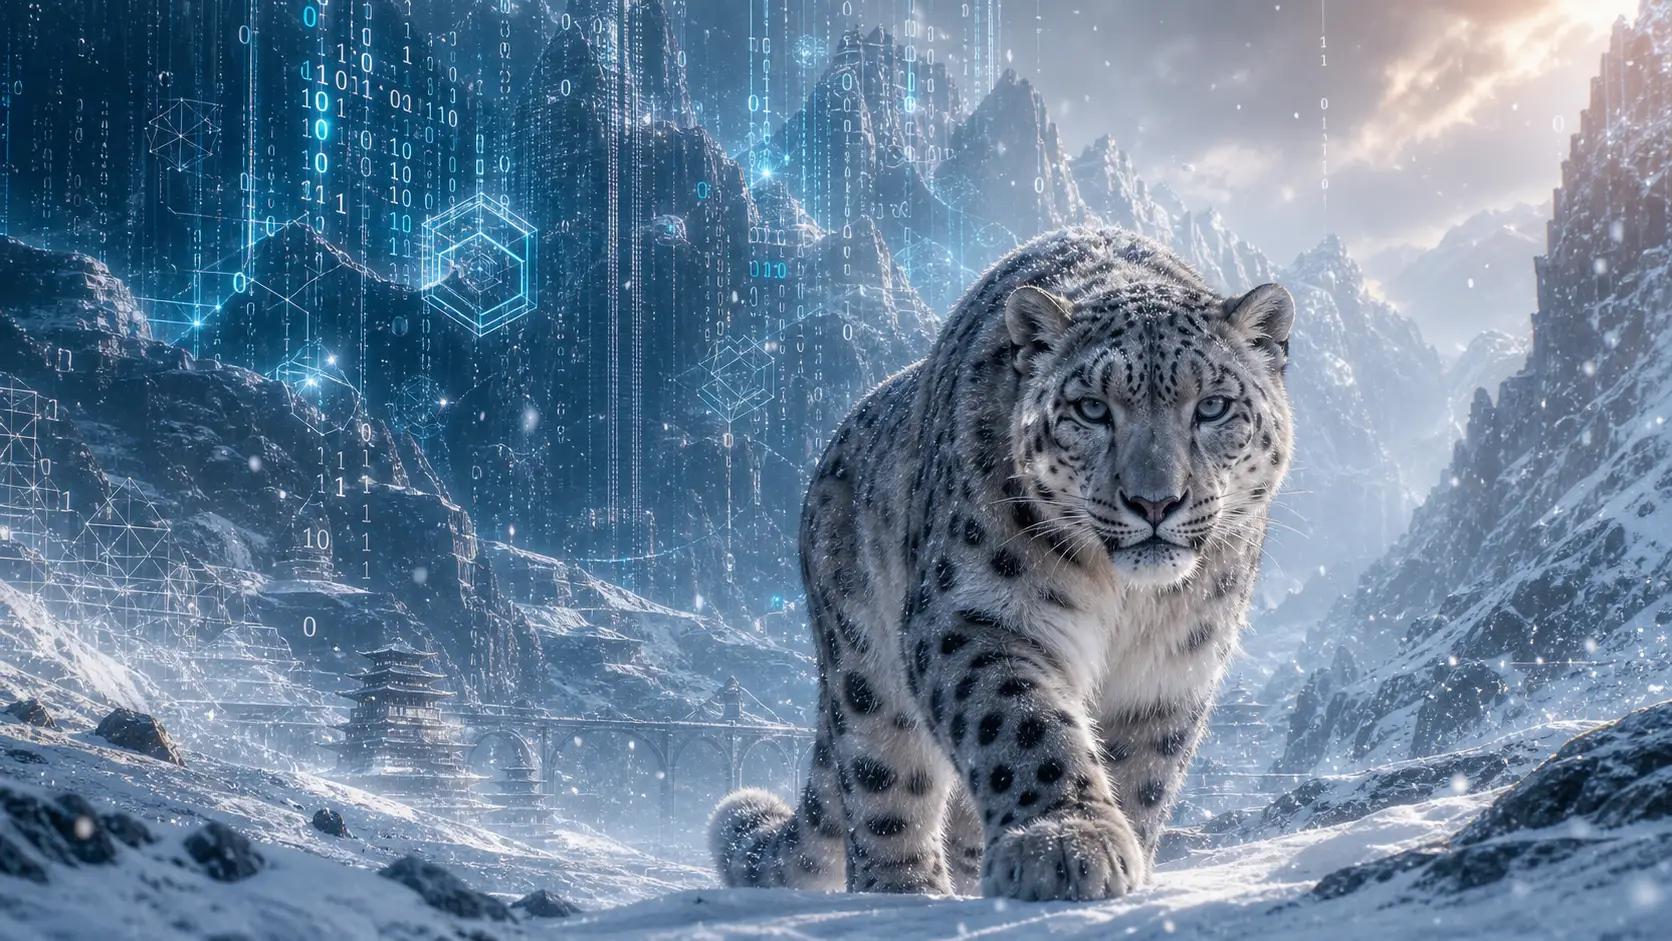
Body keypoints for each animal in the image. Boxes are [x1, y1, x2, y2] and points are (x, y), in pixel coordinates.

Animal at [708, 226, 1295, 902]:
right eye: (1092, 409)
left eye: (1214, 406)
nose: (1155, 501)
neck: (1127, 599)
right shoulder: (977, 614)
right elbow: (1020, 722)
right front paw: (1065, 845)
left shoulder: (1176, 662)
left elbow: (1141, 771)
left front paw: (1114, 854)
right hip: (861, 665)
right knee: (882, 780)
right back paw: (908, 890)